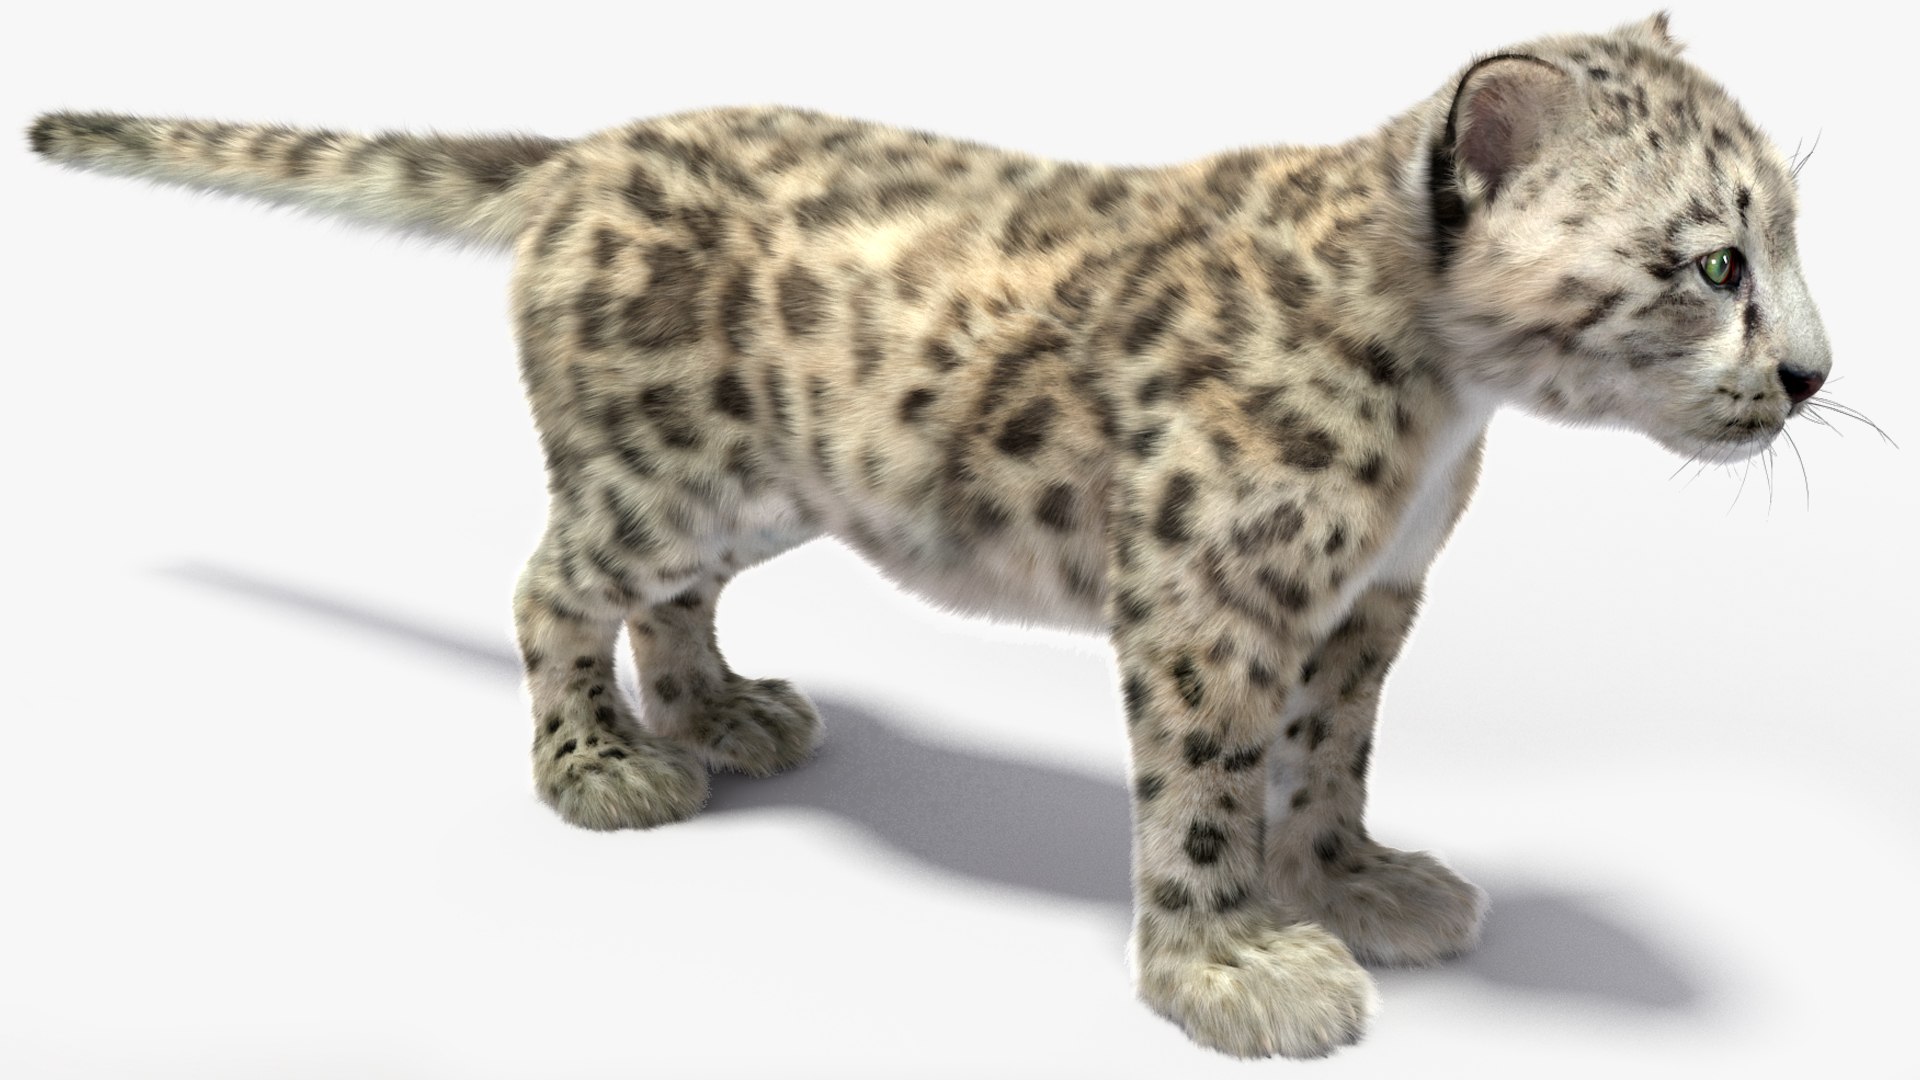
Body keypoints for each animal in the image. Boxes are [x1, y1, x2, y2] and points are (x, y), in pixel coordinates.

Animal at [28, 13, 1831, 1058]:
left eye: (1791, 239)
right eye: (1713, 264)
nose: (1816, 374)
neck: (1446, 409)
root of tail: (584, 156)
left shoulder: (1367, 607)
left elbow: (1329, 757)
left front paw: (1354, 878)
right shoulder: (1212, 609)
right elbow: (1203, 798)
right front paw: (1235, 964)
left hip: (758, 494)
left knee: (665, 604)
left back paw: (726, 713)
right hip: (659, 478)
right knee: (548, 584)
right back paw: (602, 765)